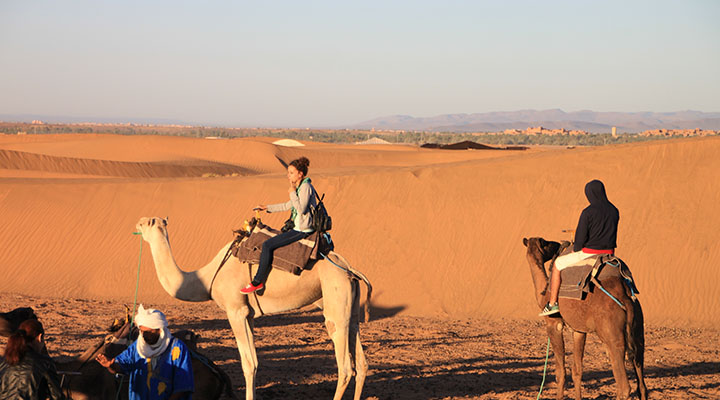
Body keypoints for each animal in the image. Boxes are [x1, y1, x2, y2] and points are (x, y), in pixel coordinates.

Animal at [136, 217, 374, 400]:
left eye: (146, 222)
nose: (136, 224)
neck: (207, 277)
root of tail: (350, 270)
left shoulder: (235, 310)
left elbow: (248, 364)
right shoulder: (248, 314)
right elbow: (256, 362)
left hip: (335, 300)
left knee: (345, 367)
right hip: (349, 305)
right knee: (361, 361)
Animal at [524, 238, 648, 400]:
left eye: (545, 242)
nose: (556, 244)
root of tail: (625, 297)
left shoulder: (553, 324)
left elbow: (560, 372)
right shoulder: (579, 330)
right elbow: (577, 371)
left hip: (613, 336)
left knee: (624, 385)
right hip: (637, 329)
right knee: (641, 383)